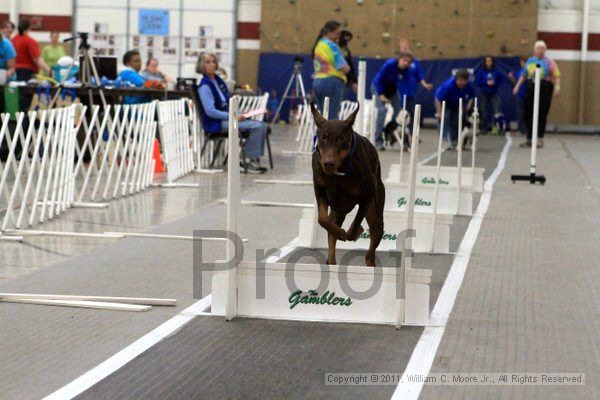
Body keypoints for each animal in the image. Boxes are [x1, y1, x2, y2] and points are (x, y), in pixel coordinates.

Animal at [310, 103, 384, 268]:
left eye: (341, 138)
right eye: (323, 137)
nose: (328, 163)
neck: (340, 171)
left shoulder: (367, 195)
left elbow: (356, 223)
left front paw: (353, 232)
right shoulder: (319, 188)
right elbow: (322, 219)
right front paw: (339, 232)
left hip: (375, 206)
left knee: (376, 231)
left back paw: (370, 259)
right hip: (338, 210)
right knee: (331, 230)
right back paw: (331, 260)